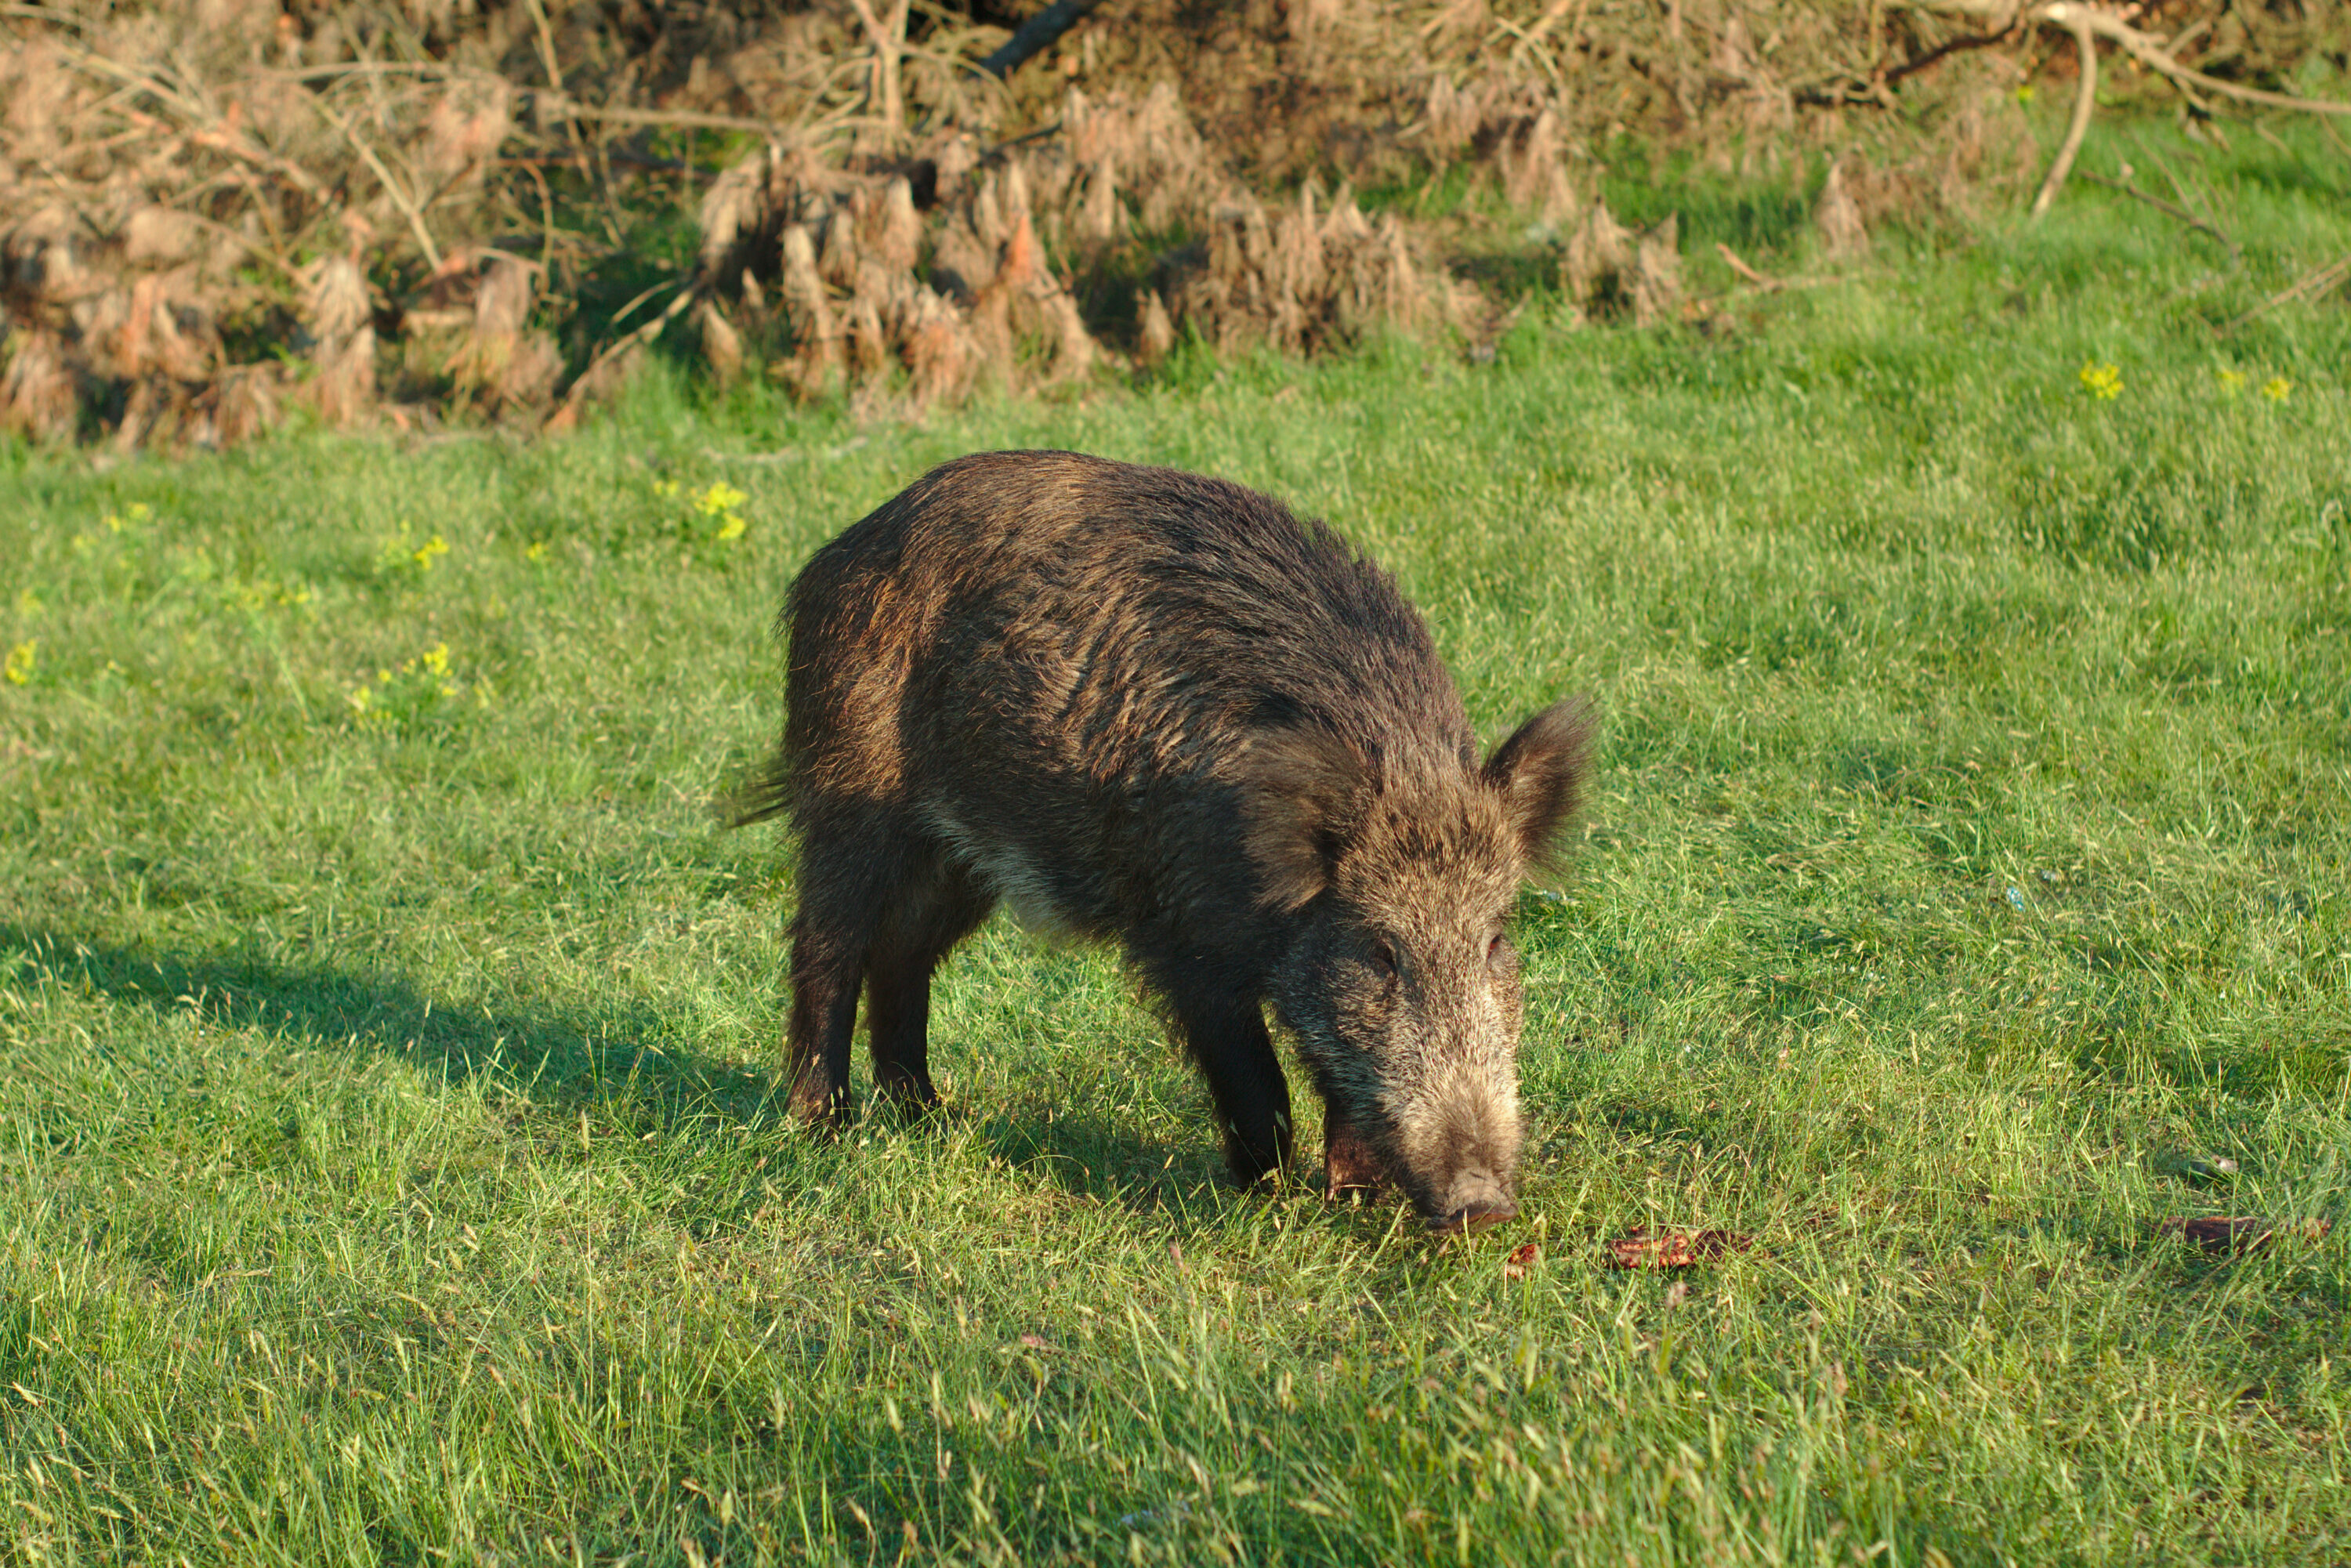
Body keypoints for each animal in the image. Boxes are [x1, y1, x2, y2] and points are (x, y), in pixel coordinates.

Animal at [733, 450, 1592, 1232]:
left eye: (1496, 941)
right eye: (1381, 952)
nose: (1482, 1207)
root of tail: (835, 554)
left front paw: (1353, 1198)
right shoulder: (1182, 933)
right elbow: (1256, 1076)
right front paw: (1267, 1196)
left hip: (961, 860)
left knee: (903, 954)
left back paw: (931, 1116)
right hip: (851, 787)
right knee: (826, 943)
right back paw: (824, 1126)